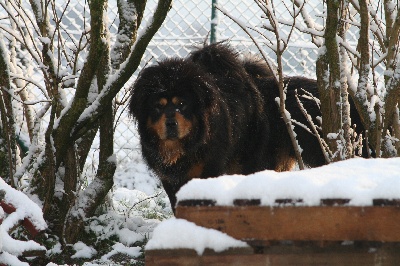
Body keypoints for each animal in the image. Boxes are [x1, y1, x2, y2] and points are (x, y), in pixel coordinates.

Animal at [130, 42, 360, 211]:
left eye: (182, 104)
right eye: (158, 106)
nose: (171, 123)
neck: (185, 147)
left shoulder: (209, 170)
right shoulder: (170, 179)